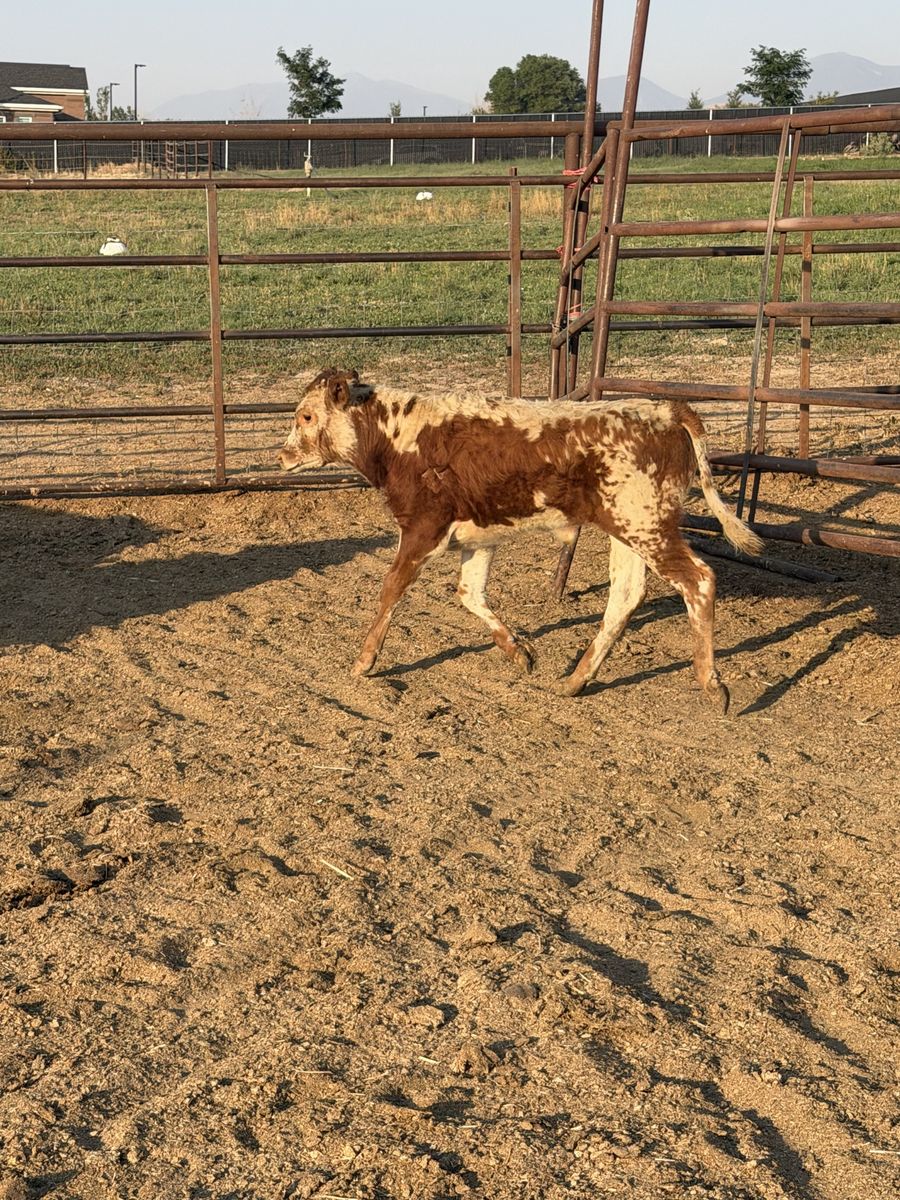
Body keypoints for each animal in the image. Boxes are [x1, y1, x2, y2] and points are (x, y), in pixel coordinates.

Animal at [278, 368, 763, 711]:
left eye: (306, 416)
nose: (282, 456)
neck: (400, 435)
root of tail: (665, 411)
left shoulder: (422, 528)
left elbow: (392, 588)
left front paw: (365, 660)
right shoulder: (478, 538)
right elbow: (470, 593)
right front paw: (519, 652)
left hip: (647, 526)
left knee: (698, 581)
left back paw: (711, 685)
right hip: (628, 530)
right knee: (625, 595)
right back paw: (574, 680)